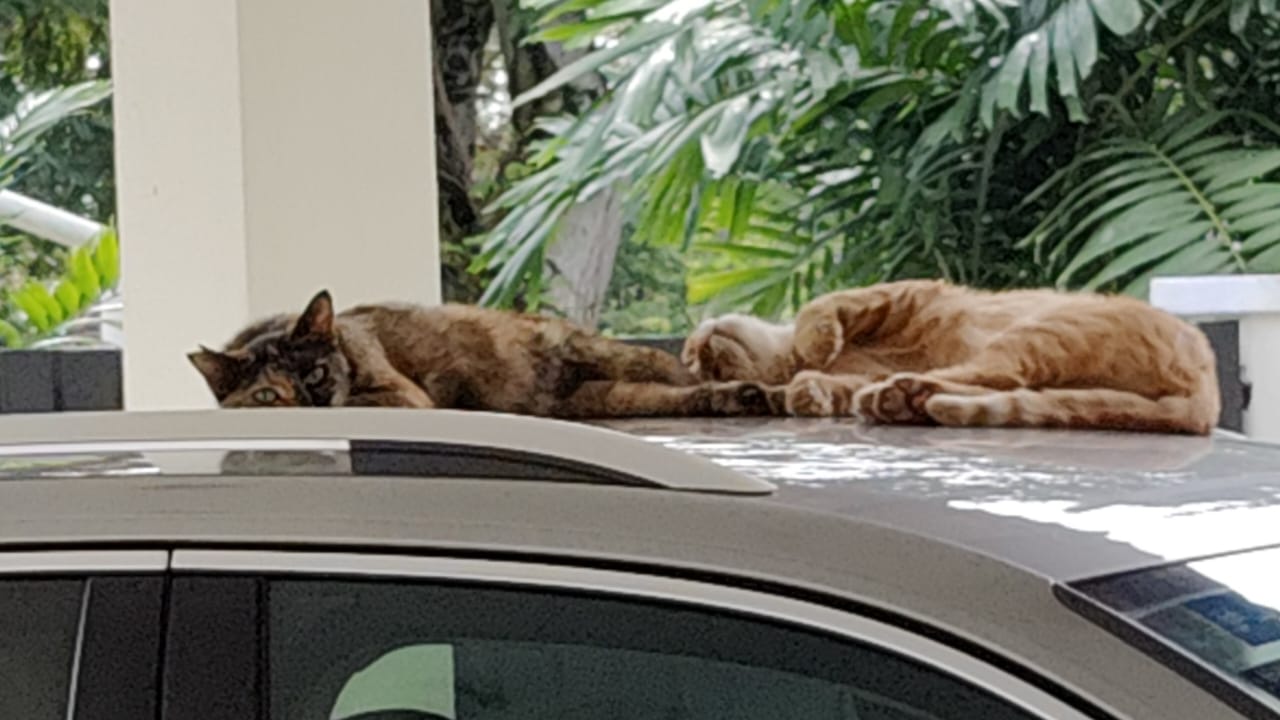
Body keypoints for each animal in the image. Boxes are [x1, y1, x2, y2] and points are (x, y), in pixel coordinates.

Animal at [681, 279, 1220, 434]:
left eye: (693, 355)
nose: (699, 355)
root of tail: (1206, 397)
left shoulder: (904, 293)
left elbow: (822, 308)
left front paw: (814, 349)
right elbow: (822, 384)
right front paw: (805, 391)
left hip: (1040, 332)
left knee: (994, 377)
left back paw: (899, 396)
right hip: (1042, 355)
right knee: (1002, 385)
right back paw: (902, 398)